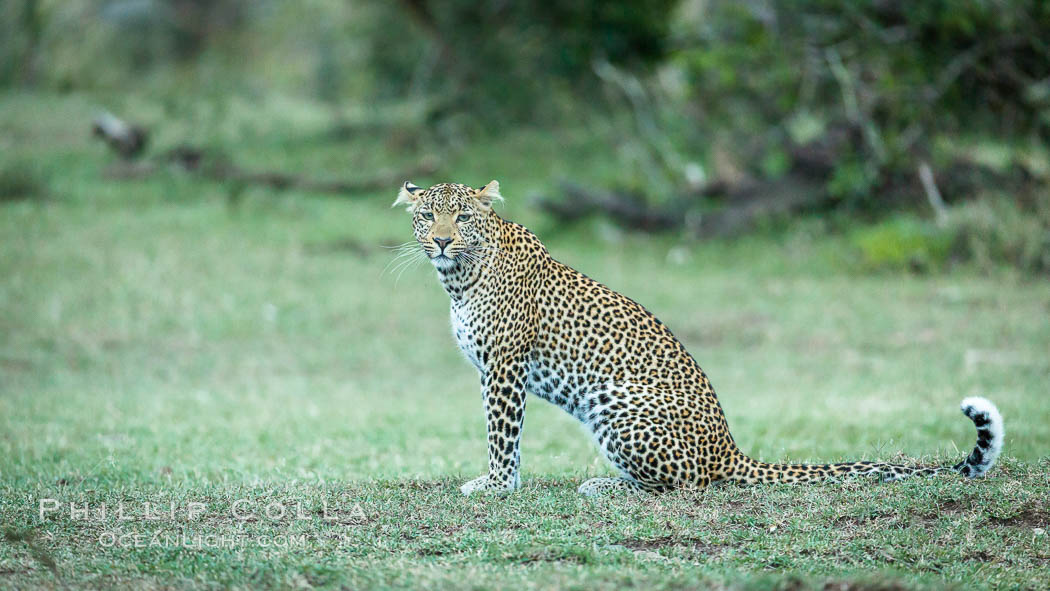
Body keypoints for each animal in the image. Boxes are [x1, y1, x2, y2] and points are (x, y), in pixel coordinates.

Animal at [394, 179, 1007, 495]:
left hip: (616, 403)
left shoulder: (504, 368)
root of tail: (731, 449)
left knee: (684, 485)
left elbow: (502, 437)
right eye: (427, 217)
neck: (459, 276)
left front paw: (495, 487)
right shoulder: (496, 370)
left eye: (464, 218)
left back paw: (606, 488)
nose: (442, 241)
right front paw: (502, 485)